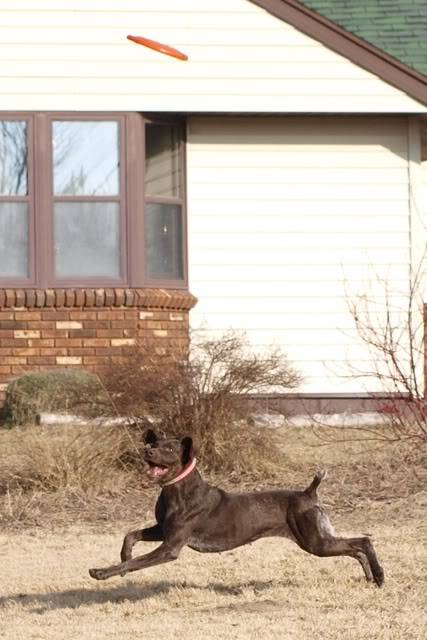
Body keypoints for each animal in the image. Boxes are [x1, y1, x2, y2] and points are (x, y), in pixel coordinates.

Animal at [89, 430, 384, 584]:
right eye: (153, 443)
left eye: (170, 449)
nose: (147, 451)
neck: (176, 489)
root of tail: (308, 492)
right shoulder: (163, 530)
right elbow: (131, 535)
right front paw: (123, 555)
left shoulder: (170, 546)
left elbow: (137, 562)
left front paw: (102, 572)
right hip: (319, 538)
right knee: (355, 547)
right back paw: (371, 577)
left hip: (314, 541)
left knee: (363, 541)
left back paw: (379, 575)